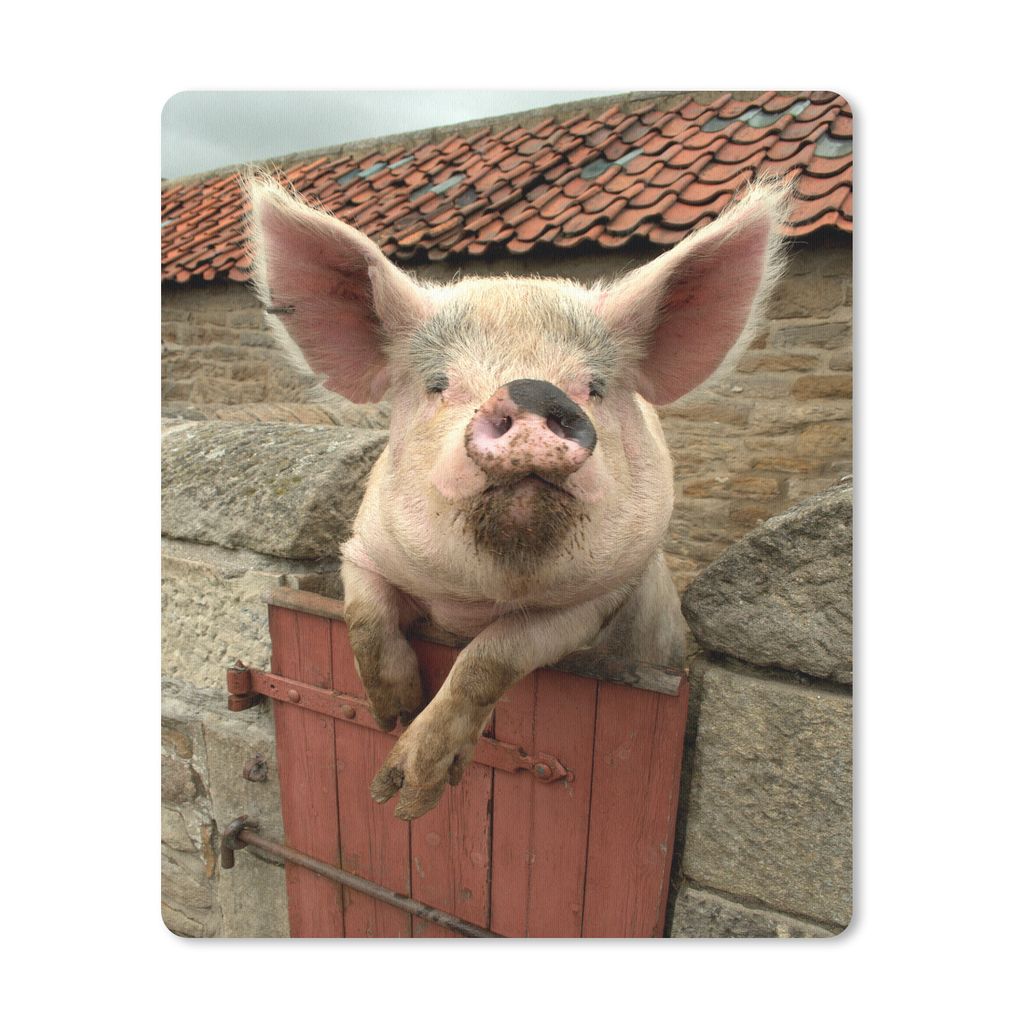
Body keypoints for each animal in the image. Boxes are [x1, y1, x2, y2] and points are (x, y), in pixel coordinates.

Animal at [247, 175, 788, 820]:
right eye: (438, 384)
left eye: (594, 386)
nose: (532, 391)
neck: (481, 598)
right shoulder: (364, 548)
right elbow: (363, 613)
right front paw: (391, 715)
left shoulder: (598, 598)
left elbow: (492, 657)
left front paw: (406, 796)